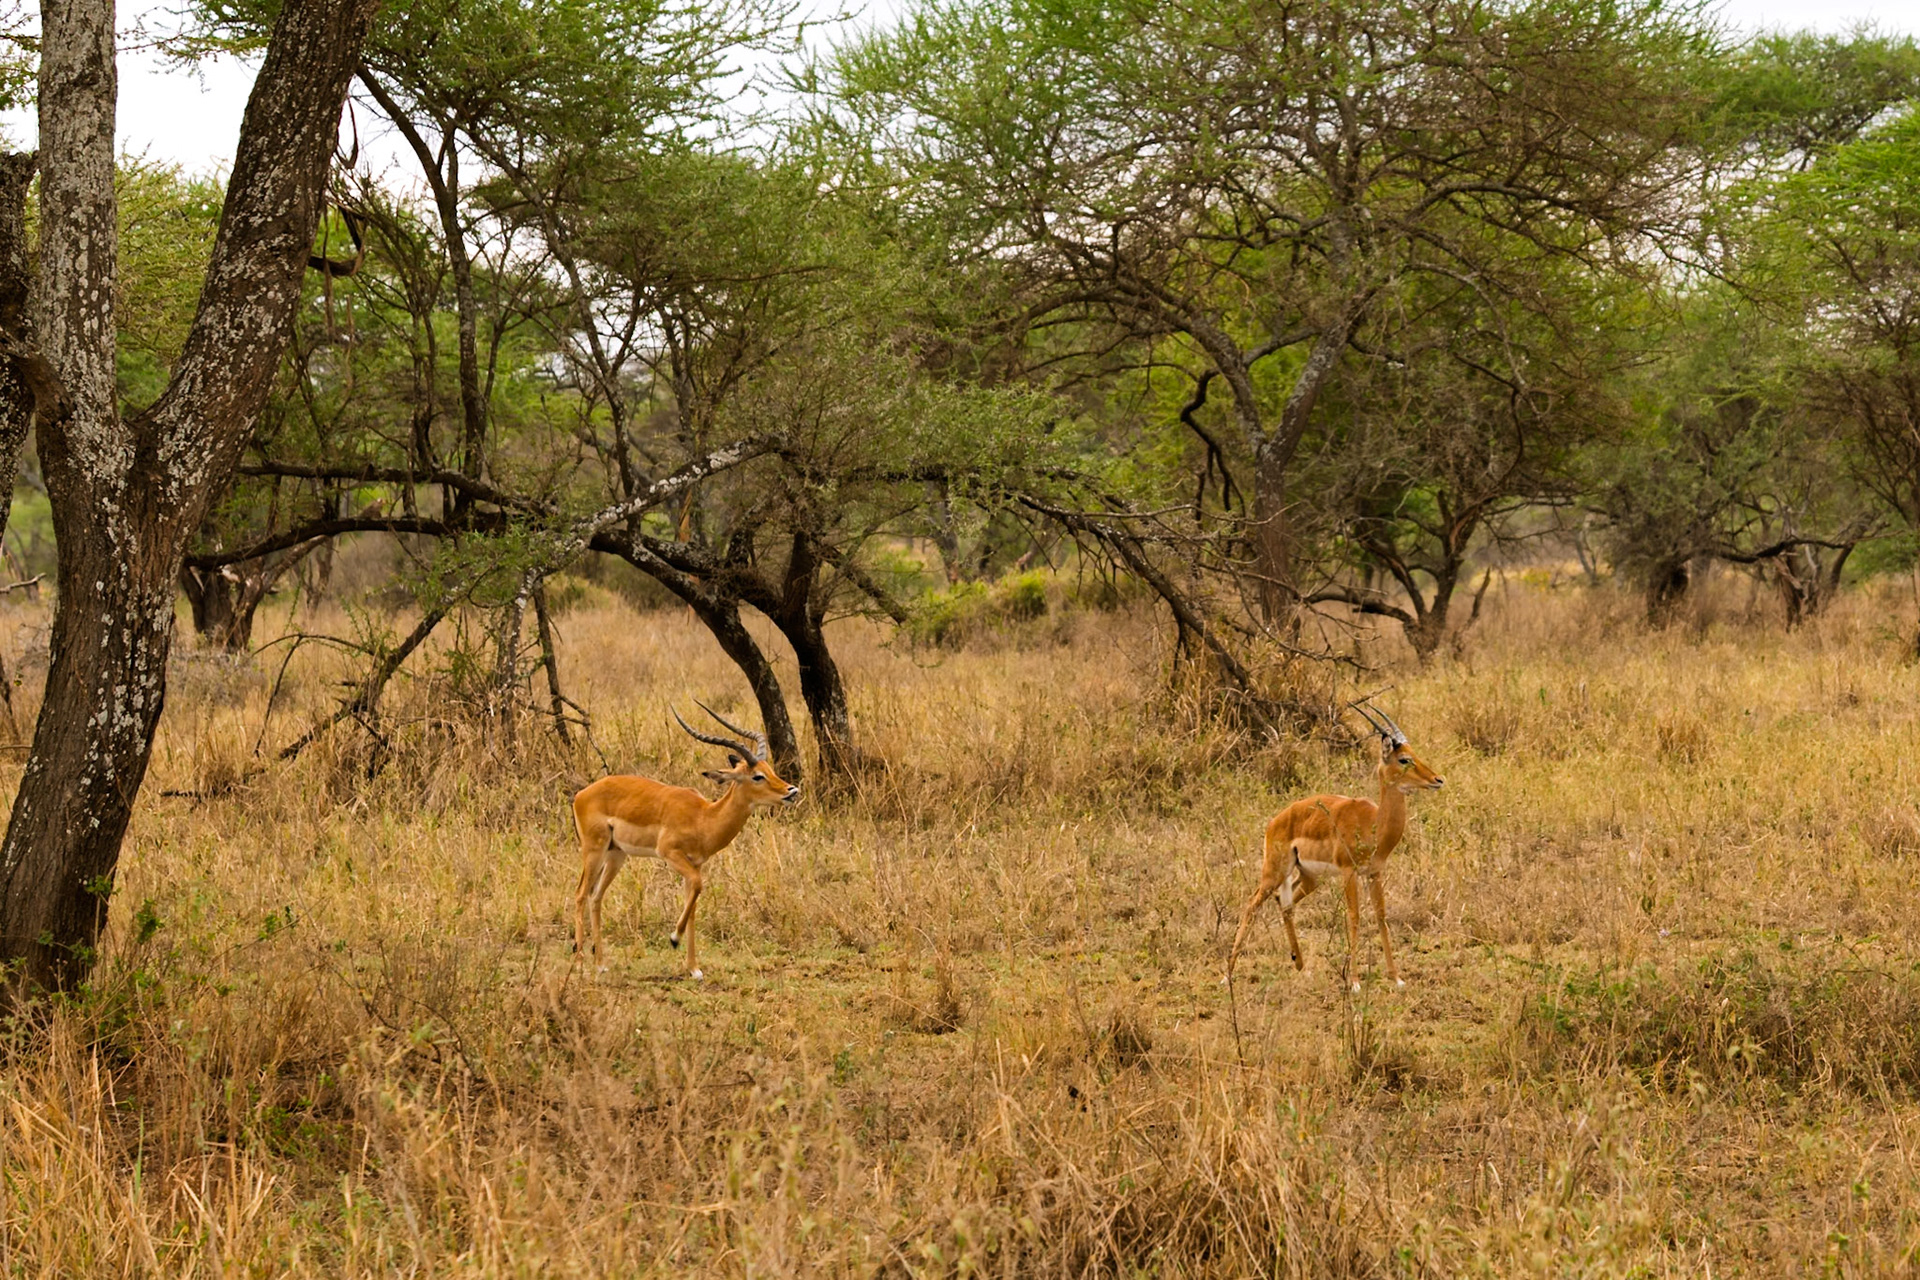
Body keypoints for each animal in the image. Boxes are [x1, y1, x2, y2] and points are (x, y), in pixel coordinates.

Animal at [572, 702, 800, 979]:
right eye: (757, 776)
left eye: (770, 770)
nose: (791, 791)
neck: (703, 817)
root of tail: (581, 794)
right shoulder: (671, 855)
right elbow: (699, 887)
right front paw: (673, 938)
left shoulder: (694, 864)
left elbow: (692, 906)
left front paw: (694, 969)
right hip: (594, 850)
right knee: (580, 895)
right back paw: (580, 963)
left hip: (616, 854)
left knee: (596, 897)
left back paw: (600, 964)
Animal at [1227, 704, 1444, 992]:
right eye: (1404, 759)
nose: (1438, 779)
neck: (1372, 824)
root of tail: (1276, 820)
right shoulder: (1348, 872)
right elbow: (1354, 917)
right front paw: (1355, 982)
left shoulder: (1374, 873)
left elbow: (1381, 917)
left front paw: (1396, 978)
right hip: (1274, 872)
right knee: (1252, 904)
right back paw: (1227, 975)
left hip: (1308, 877)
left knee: (1285, 903)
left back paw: (1300, 965)